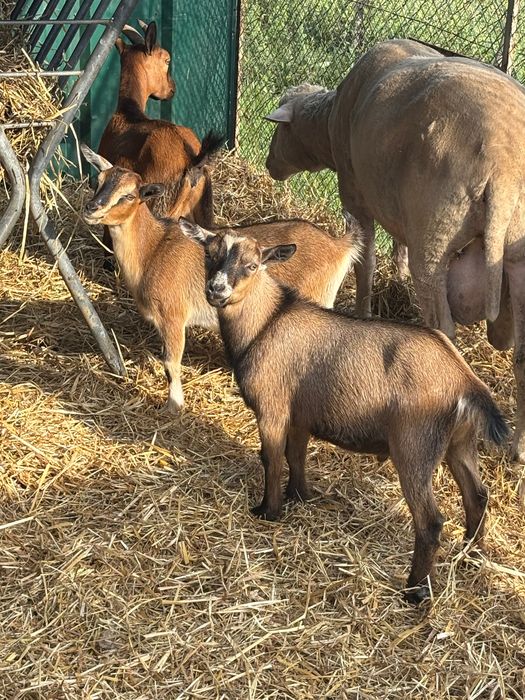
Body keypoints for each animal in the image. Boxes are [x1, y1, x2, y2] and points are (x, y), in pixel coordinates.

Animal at [81, 145, 359, 412]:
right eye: (99, 180)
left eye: (128, 195)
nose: (91, 208)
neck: (154, 249)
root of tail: (339, 246)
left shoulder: (173, 316)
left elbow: (171, 363)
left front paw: (173, 406)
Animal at [97, 20, 220, 257]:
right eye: (167, 59)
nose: (172, 89)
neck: (128, 112)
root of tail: (192, 161)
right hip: (202, 211)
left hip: (160, 205)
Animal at [179, 214, 509, 604]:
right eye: (210, 254)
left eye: (251, 265)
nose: (216, 290)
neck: (265, 323)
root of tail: (464, 379)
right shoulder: (300, 414)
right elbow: (295, 455)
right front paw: (300, 496)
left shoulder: (272, 408)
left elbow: (271, 458)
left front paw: (268, 511)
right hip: (460, 442)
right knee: (477, 496)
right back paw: (471, 554)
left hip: (415, 446)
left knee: (430, 520)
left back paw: (415, 590)